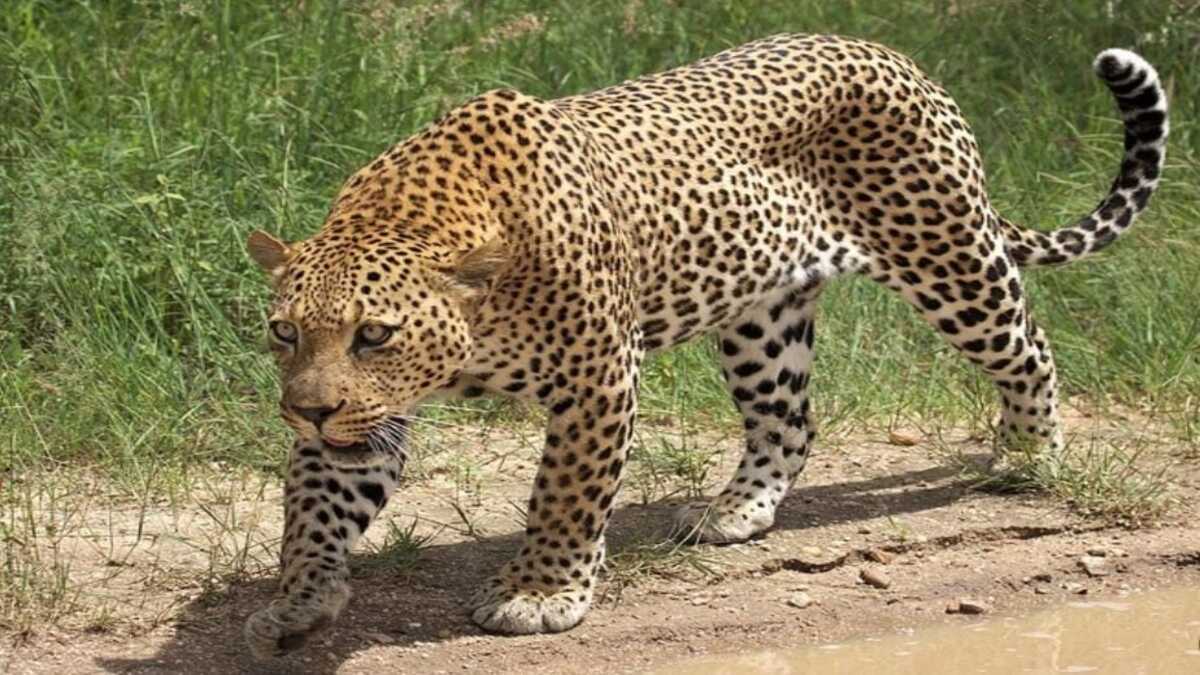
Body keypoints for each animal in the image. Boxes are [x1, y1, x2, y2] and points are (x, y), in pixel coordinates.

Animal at [241, 34, 1167, 658]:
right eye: (285, 331)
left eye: (375, 334)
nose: (305, 411)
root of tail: (895, 55)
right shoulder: (363, 419)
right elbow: (314, 505)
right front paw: (299, 596)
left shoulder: (597, 376)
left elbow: (565, 494)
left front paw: (541, 592)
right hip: (762, 317)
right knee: (789, 421)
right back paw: (736, 510)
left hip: (948, 259)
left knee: (1028, 344)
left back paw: (1030, 453)